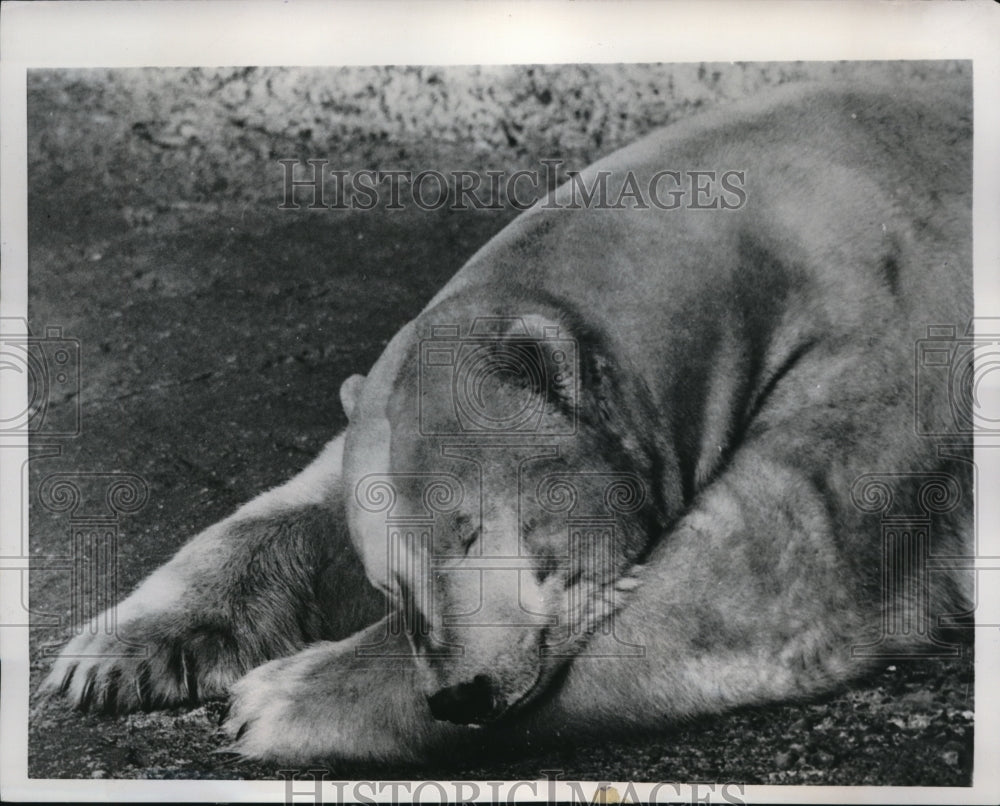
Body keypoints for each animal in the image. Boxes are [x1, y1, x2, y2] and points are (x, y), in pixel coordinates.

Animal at [43, 80, 973, 763]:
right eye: (390, 580)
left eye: (472, 531)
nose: (461, 694)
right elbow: (301, 499)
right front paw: (110, 659)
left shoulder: (879, 345)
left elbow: (761, 573)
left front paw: (277, 697)